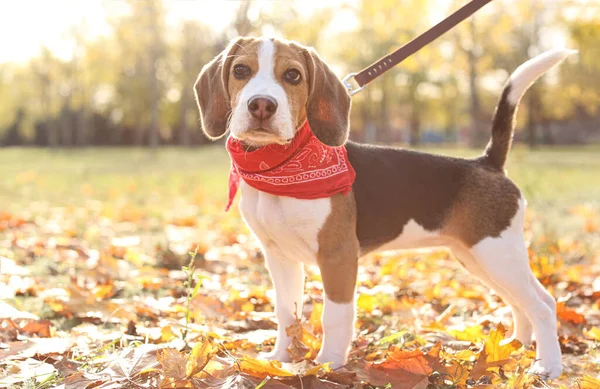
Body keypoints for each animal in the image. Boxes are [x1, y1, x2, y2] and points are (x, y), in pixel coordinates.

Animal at [195, 37, 576, 378]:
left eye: (292, 76)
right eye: (241, 70)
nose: (262, 105)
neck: (278, 167)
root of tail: (488, 162)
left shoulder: (338, 255)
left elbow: (334, 315)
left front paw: (329, 363)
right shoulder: (279, 256)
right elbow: (287, 313)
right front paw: (280, 359)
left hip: (497, 254)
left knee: (542, 304)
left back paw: (548, 366)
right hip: (478, 257)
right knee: (525, 303)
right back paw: (514, 348)